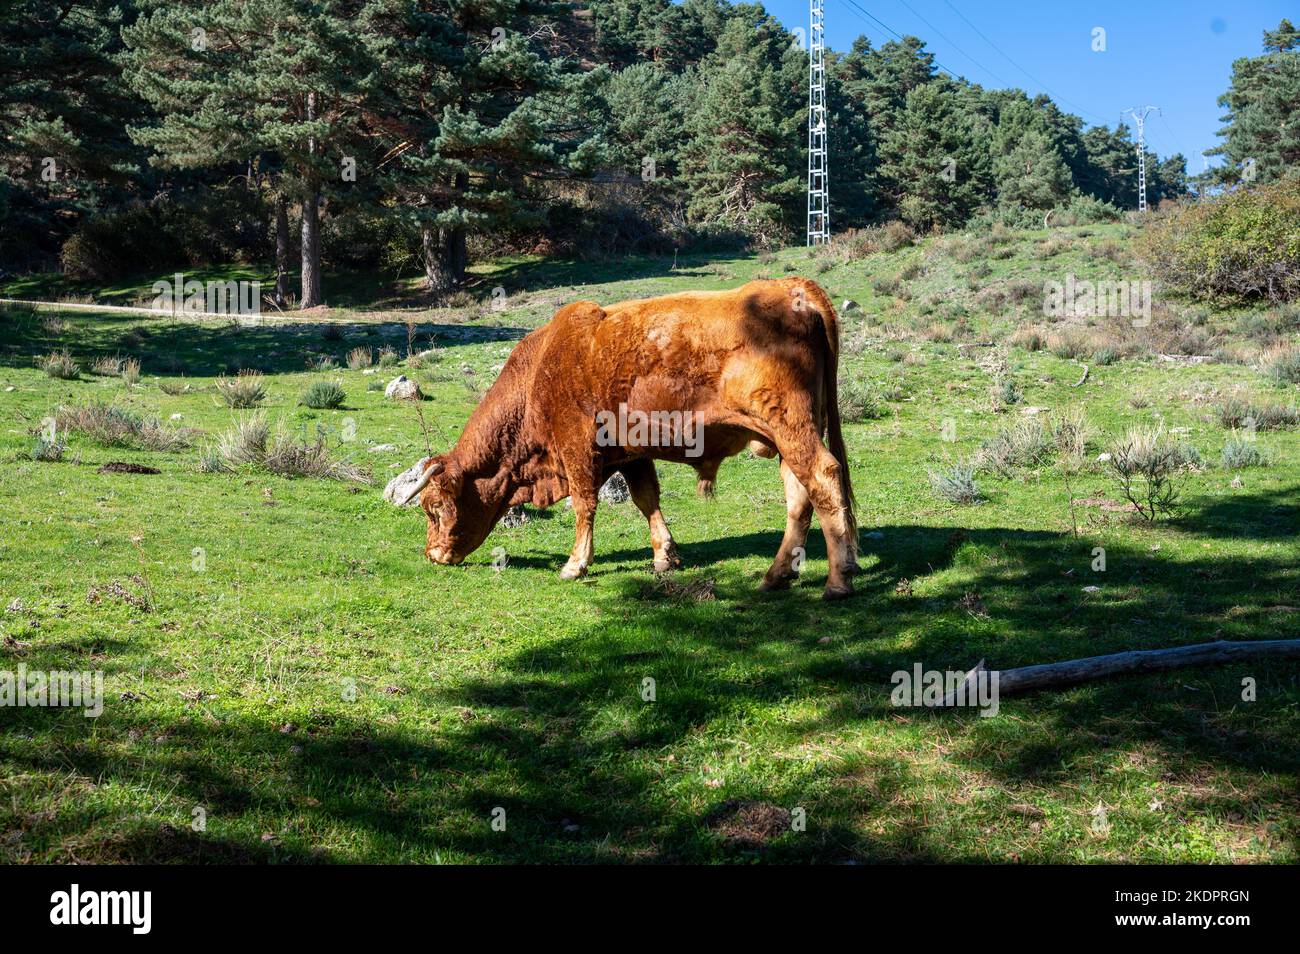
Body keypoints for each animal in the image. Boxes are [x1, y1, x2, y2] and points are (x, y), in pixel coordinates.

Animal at [400, 274, 857, 597]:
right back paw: (776, 576)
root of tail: (791, 286)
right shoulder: (631, 454)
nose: (432, 554)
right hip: (789, 438)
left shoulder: (577, 449)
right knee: (799, 497)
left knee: (823, 479)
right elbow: (646, 499)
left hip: (793, 429)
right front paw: (664, 556)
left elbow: (585, 505)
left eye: (434, 506)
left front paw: (575, 564)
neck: (540, 371)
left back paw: (839, 580)